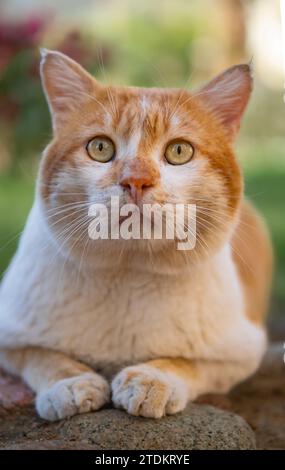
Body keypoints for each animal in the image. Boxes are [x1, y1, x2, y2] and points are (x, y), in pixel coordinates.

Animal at [0, 49, 270, 420]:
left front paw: (151, 381)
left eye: (179, 151)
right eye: (100, 148)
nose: (136, 180)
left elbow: (186, 362)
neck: (128, 273)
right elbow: (42, 356)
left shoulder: (241, 352)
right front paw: (71, 384)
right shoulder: (10, 335)